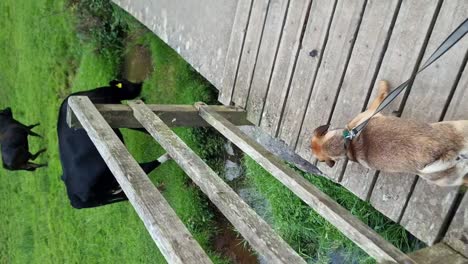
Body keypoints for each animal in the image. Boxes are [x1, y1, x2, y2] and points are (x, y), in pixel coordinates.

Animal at [57, 79, 169, 209]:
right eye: (127, 83)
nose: (140, 83)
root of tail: (75, 197)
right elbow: (139, 126)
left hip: (107, 196)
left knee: (126, 195)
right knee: (148, 167)